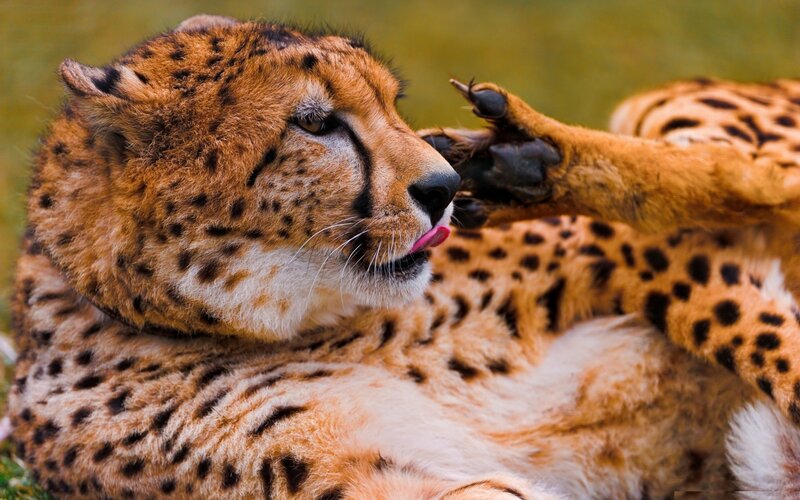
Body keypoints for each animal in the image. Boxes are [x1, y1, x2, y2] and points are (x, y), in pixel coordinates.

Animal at [6, 13, 800, 498]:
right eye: (315, 122)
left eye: (392, 104)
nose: (443, 188)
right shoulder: (392, 480)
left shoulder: (635, 252)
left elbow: (760, 335)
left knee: (764, 176)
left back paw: (528, 156)